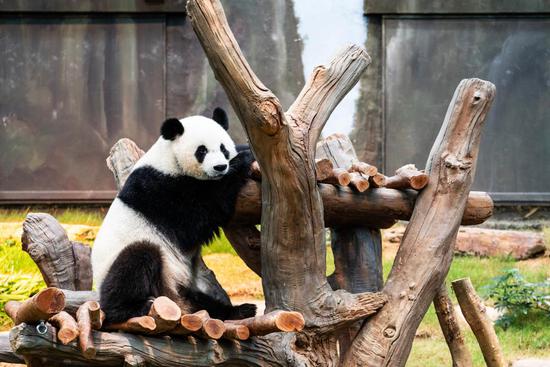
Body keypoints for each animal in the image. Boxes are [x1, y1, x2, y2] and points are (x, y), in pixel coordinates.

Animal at [92, 108, 258, 324]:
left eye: (223, 148)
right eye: (202, 151)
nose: (220, 167)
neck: (169, 160)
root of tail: (173, 300)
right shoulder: (159, 191)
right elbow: (197, 216)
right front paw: (243, 159)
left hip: (182, 286)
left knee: (202, 301)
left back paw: (240, 310)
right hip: (131, 264)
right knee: (136, 260)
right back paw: (131, 307)